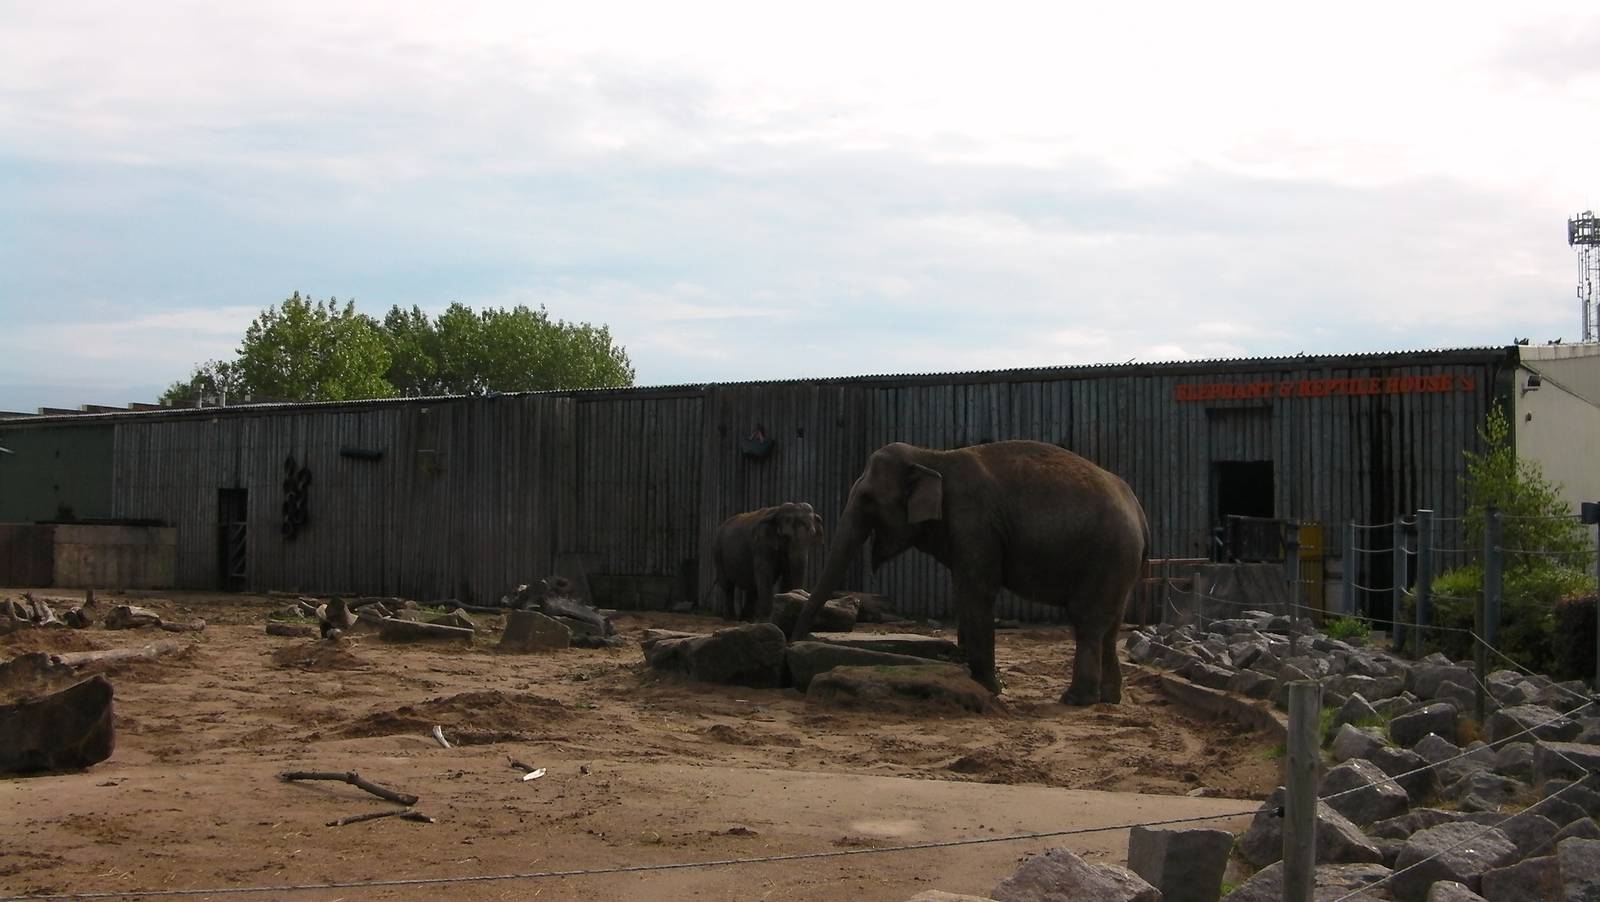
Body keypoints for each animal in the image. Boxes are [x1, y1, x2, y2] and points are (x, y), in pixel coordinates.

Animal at [790, 440, 1148, 705]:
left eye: (867, 499)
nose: (793, 643)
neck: (932, 457)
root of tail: (1139, 510)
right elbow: (963, 592)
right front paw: (966, 669)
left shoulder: (973, 522)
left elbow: (977, 591)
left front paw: (988, 688)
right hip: (1120, 564)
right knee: (1110, 625)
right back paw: (1109, 699)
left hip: (1107, 554)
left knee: (1086, 620)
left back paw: (1075, 700)